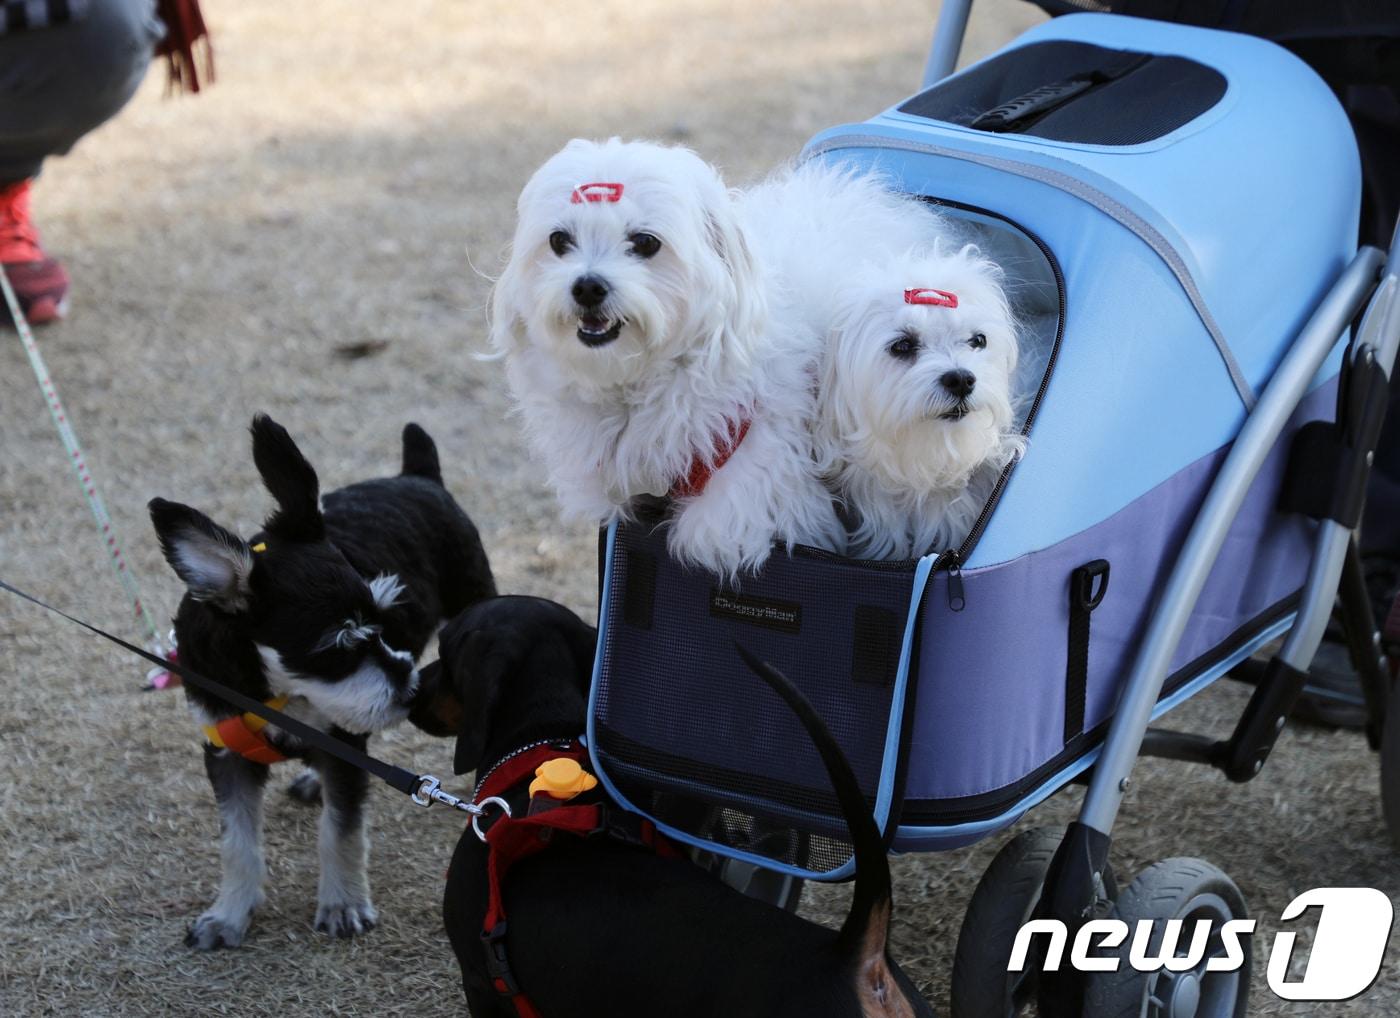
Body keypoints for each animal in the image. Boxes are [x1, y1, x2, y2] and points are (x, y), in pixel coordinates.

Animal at [147, 411, 495, 946]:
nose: (410, 691)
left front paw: (343, 905)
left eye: (384, 617)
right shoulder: (226, 756)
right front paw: (227, 915)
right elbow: (237, 843)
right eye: (339, 646)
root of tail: (417, 475)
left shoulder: (345, 750)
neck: (276, 692)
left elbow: (340, 831)